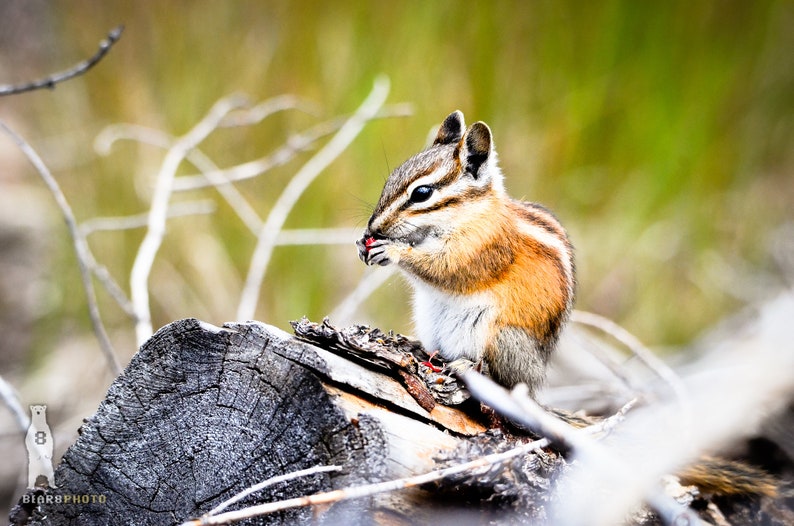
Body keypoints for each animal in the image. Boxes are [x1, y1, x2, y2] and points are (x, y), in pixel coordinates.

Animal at [357, 110, 574, 397]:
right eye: (391, 179)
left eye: (422, 193)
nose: (373, 227)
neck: (471, 212)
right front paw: (363, 243)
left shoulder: (482, 247)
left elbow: (446, 268)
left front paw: (392, 250)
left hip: (504, 338)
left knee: (505, 380)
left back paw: (466, 366)